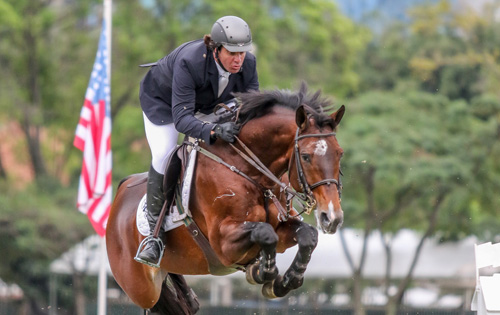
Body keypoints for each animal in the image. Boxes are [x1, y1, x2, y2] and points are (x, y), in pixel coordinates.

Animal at [106, 82, 344, 314]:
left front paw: (287, 280)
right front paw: (261, 272)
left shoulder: (282, 230)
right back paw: (152, 249)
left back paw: (189, 297)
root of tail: (121, 191)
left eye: (339, 153)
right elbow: (265, 232)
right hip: (143, 289)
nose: (332, 218)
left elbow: (308, 235)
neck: (250, 171)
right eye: (306, 156)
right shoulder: (223, 243)